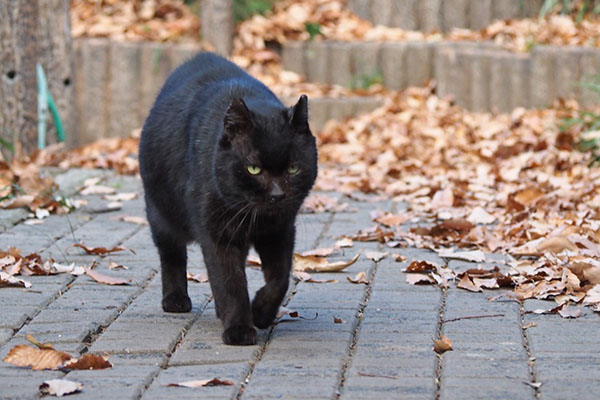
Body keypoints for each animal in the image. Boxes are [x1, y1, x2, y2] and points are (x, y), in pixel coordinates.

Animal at [139, 53, 318, 346]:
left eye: (293, 169)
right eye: (253, 168)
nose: (277, 195)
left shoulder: (280, 231)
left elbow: (280, 278)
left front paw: (260, 312)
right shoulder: (217, 234)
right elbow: (230, 282)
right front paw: (239, 330)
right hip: (161, 214)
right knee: (172, 256)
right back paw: (176, 299)